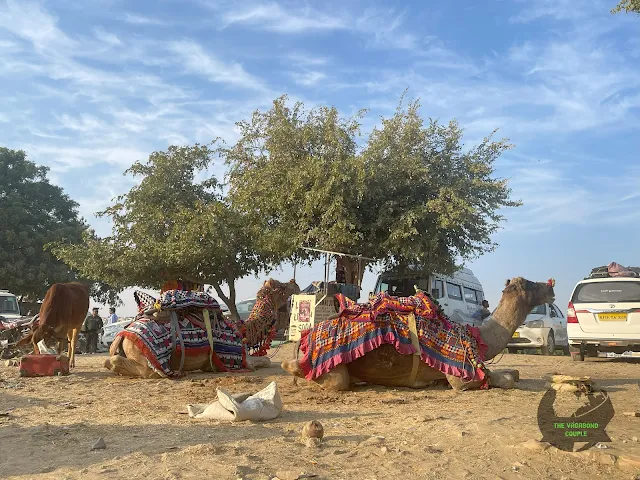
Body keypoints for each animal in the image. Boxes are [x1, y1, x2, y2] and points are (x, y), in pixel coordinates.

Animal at [104, 278, 300, 378]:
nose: (295, 282)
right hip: (148, 359)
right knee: (145, 370)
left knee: (109, 361)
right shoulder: (241, 361)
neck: (244, 330)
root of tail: (122, 335)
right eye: (281, 287)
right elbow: (265, 360)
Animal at [282, 276, 556, 392]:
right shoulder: (460, 376)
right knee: (331, 381)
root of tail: (306, 338)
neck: (478, 338)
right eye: (531, 284)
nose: (551, 288)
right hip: (331, 370)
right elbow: (504, 379)